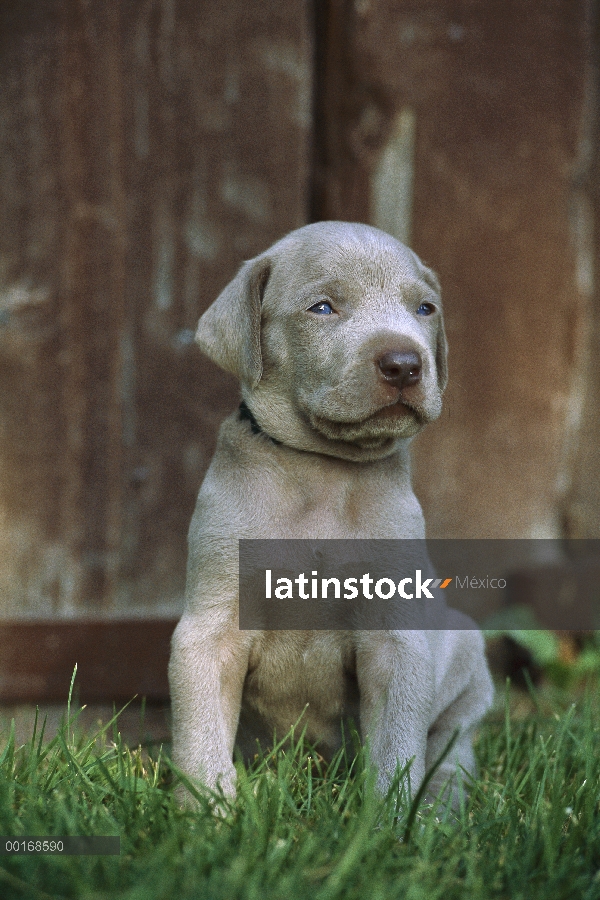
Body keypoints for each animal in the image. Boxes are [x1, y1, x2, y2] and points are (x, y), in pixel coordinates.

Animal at [169, 221, 492, 804]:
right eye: (322, 308)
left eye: (425, 309)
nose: (405, 364)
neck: (322, 470)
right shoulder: (210, 630)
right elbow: (200, 737)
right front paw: (206, 813)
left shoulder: (396, 638)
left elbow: (397, 749)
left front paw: (390, 820)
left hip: (464, 648)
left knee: (453, 746)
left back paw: (442, 806)